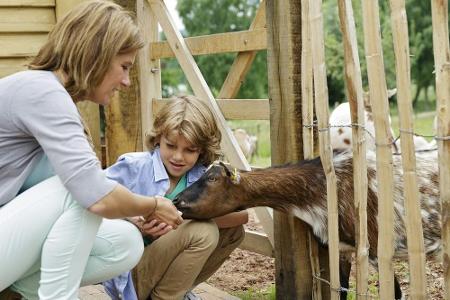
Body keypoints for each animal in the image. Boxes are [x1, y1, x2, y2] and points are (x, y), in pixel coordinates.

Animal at [175, 150, 440, 298]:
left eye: (211, 178)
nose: (177, 200)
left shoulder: (377, 250)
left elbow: (396, 294)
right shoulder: (342, 248)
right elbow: (341, 290)